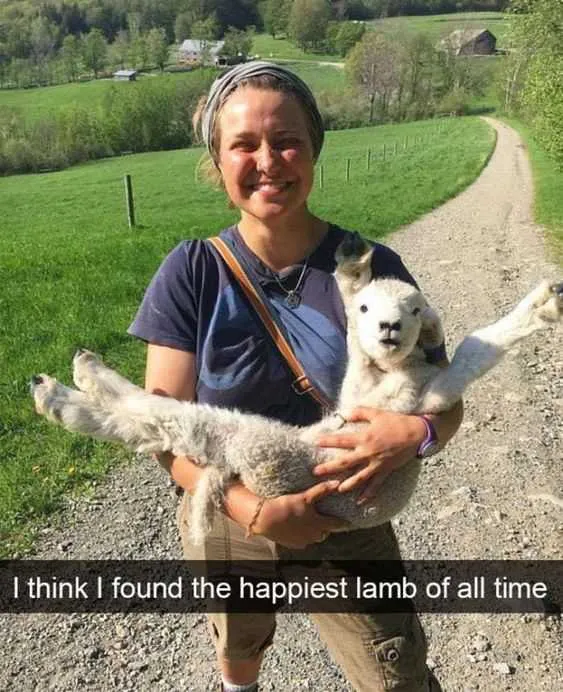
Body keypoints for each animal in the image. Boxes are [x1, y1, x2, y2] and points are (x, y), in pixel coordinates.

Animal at [31, 235, 563, 544]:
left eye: (415, 310)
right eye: (368, 310)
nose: (390, 327)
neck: (386, 374)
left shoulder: (420, 400)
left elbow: (473, 351)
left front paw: (539, 310)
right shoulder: (356, 391)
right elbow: (355, 330)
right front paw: (352, 270)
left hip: (264, 447)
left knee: (165, 420)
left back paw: (66, 390)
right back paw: (66, 383)